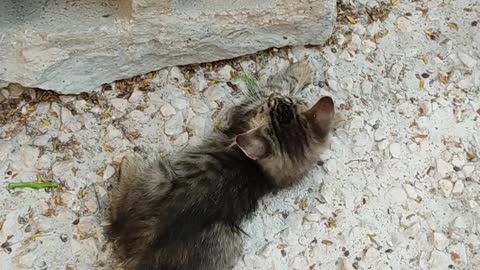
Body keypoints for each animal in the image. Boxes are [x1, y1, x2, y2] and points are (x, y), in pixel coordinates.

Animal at [108, 61, 334, 270]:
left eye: (271, 104)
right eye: (285, 103)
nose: (274, 98)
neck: (259, 171)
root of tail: (141, 246)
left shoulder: (246, 109)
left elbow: (281, 82)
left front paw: (299, 69)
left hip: (162, 177)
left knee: (118, 209)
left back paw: (129, 161)